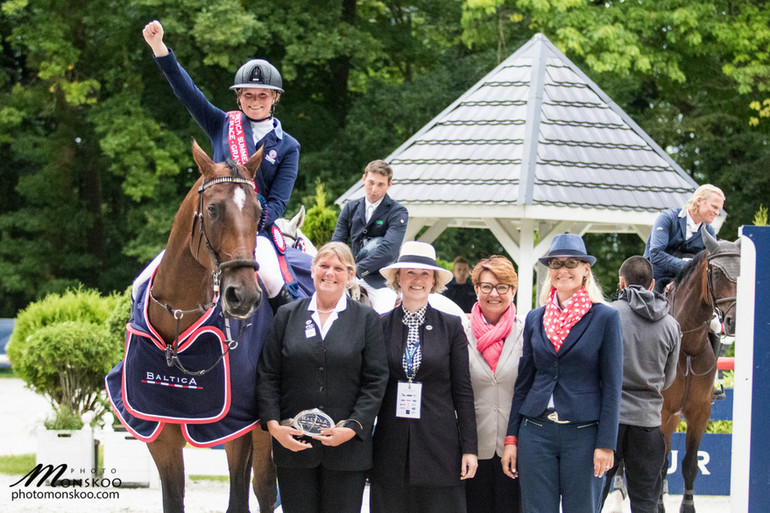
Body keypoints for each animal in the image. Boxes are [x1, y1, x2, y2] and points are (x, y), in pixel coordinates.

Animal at [106, 140, 276, 512]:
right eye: (212, 209)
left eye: (258, 211)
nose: (243, 296)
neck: (178, 321)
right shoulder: (160, 432)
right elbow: (173, 500)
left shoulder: (236, 429)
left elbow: (238, 501)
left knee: (266, 491)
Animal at [656, 227, 736, 512]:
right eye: (717, 273)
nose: (733, 320)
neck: (688, 346)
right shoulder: (661, 412)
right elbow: (660, 463)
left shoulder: (699, 411)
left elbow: (690, 464)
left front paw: (687, 507)